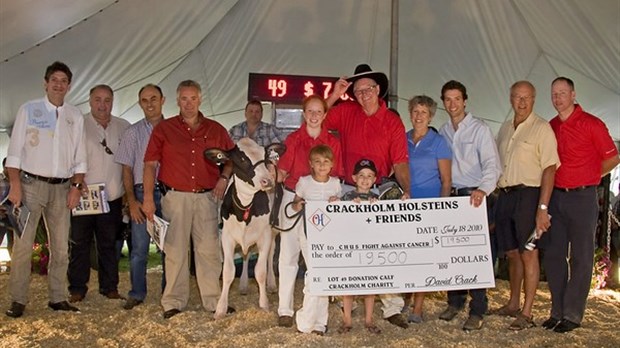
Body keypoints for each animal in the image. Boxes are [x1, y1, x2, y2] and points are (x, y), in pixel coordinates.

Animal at [207, 138, 286, 318]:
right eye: (241, 159)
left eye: (265, 156)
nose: (268, 181)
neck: (245, 207)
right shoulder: (227, 237)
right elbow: (228, 272)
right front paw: (220, 309)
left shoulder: (264, 236)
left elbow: (260, 271)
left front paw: (264, 304)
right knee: (246, 254)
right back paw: (243, 285)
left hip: (273, 231)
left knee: (270, 255)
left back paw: (272, 284)